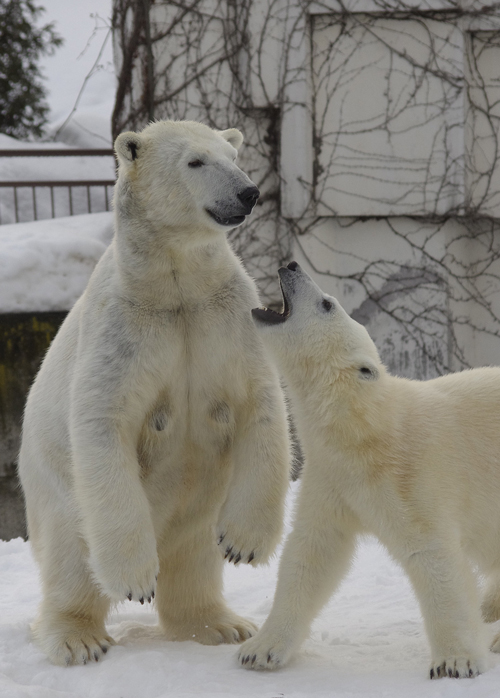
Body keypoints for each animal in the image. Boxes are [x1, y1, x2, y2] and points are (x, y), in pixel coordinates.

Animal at [19, 119, 292, 664]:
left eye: (233, 155)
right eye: (195, 161)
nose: (248, 192)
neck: (176, 289)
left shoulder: (228, 318)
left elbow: (261, 403)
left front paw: (246, 542)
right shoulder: (124, 330)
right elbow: (103, 422)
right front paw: (133, 580)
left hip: (202, 502)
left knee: (196, 554)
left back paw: (221, 625)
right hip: (55, 490)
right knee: (70, 558)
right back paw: (77, 638)